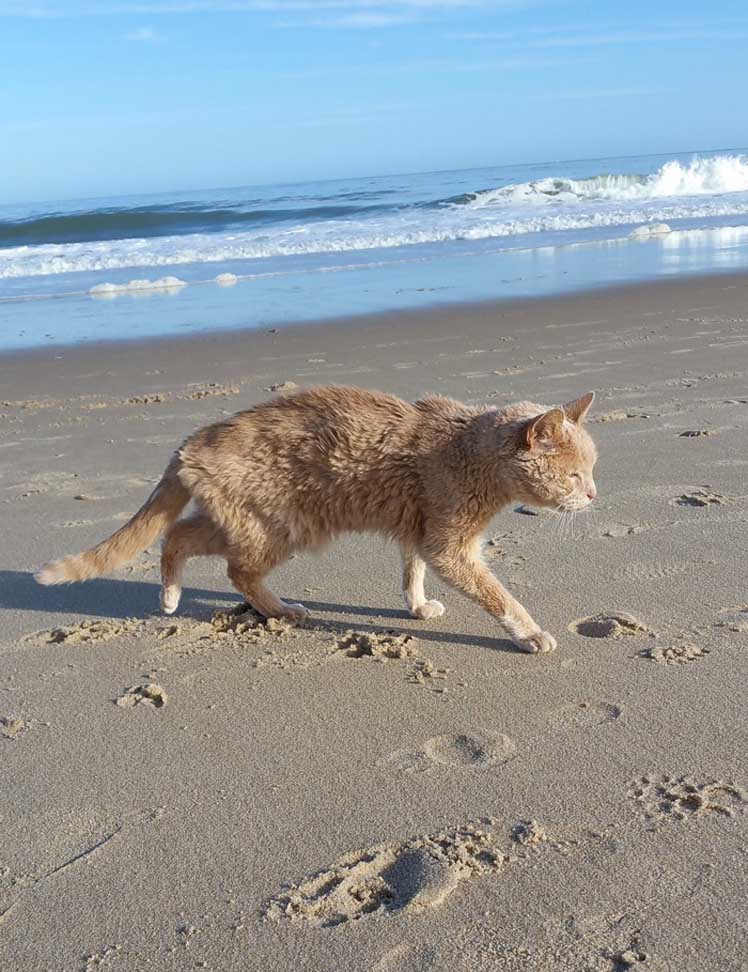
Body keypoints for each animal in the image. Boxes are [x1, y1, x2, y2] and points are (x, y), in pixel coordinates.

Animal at [35, 386, 600, 652]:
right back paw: (276, 609)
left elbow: (411, 571)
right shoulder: (450, 546)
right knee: (228, 566)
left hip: (243, 522)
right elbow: (500, 596)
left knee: (177, 534)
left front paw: (417, 607)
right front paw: (529, 633)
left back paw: (174, 594)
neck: (467, 450)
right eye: (574, 475)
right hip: (277, 528)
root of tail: (191, 441)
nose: (595, 494)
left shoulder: (418, 530)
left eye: (591, 468)